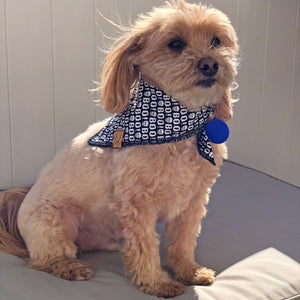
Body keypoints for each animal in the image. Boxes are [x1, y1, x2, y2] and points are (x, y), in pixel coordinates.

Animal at [0, 0, 239, 298]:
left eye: (216, 41)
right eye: (175, 43)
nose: (210, 63)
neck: (178, 127)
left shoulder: (193, 201)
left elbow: (183, 240)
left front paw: (188, 271)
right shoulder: (138, 205)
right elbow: (146, 245)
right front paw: (156, 282)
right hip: (54, 222)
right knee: (44, 260)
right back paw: (70, 267)